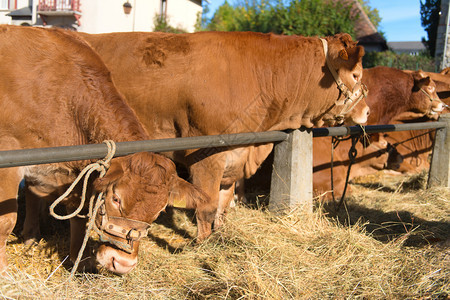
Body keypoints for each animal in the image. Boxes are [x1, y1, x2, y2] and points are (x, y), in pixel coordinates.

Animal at [0, 25, 208, 274]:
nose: (122, 263)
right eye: (116, 199)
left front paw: (79, 262)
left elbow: (80, 216)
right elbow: (5, 221)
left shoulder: (75, 174)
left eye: (158, 211)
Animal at [75, 30, 368, 231]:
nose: (367, 111)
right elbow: (208, 204)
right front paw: (203, 243)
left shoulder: (235, 156)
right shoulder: (206, 155)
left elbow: (224, 203)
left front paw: (221, 234)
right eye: (355, 75)